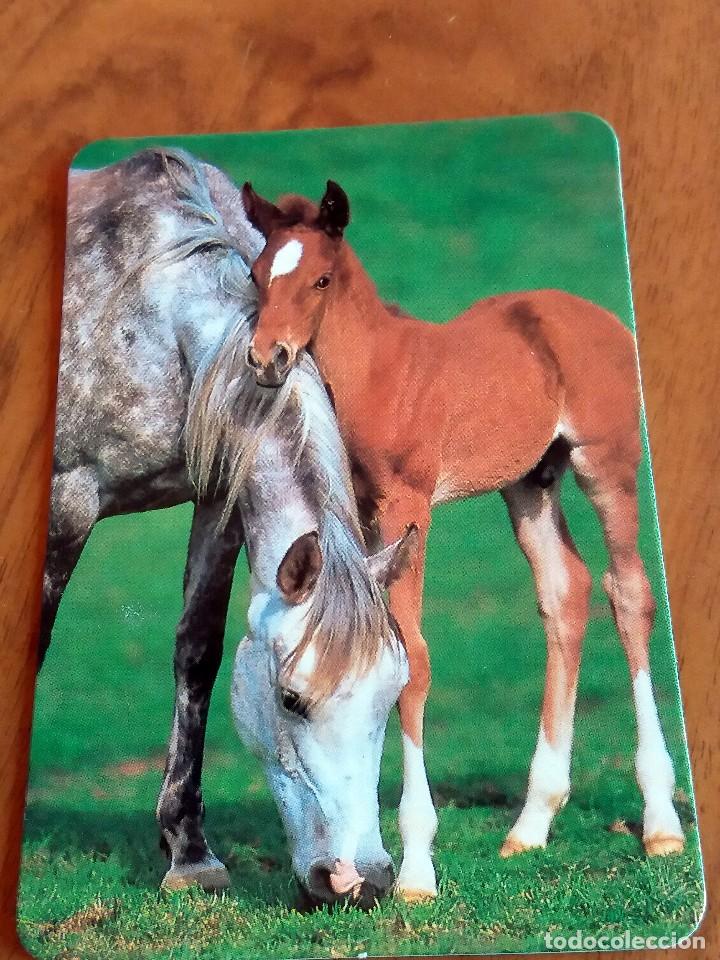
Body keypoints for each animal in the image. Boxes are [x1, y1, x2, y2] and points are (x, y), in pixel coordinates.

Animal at [45, 148, 412, 903]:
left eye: (394, 694)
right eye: (291, 699)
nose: (361, 880)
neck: (149, 316)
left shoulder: (217, 499)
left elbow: (197, 651)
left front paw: (189, 852)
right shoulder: (69, 502)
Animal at [239, 179, 686, 901]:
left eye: (321, 279)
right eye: (257, 275)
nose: (267, 358)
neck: (380, 372)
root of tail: (602, 320)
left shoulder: (410, 506)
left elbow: (414, 657)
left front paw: (417, 870)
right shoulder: (361, 513)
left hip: (606, 465)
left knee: (629, 592)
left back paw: (661, 823)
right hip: (530, 482)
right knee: (565, 590)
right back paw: (531, 823)